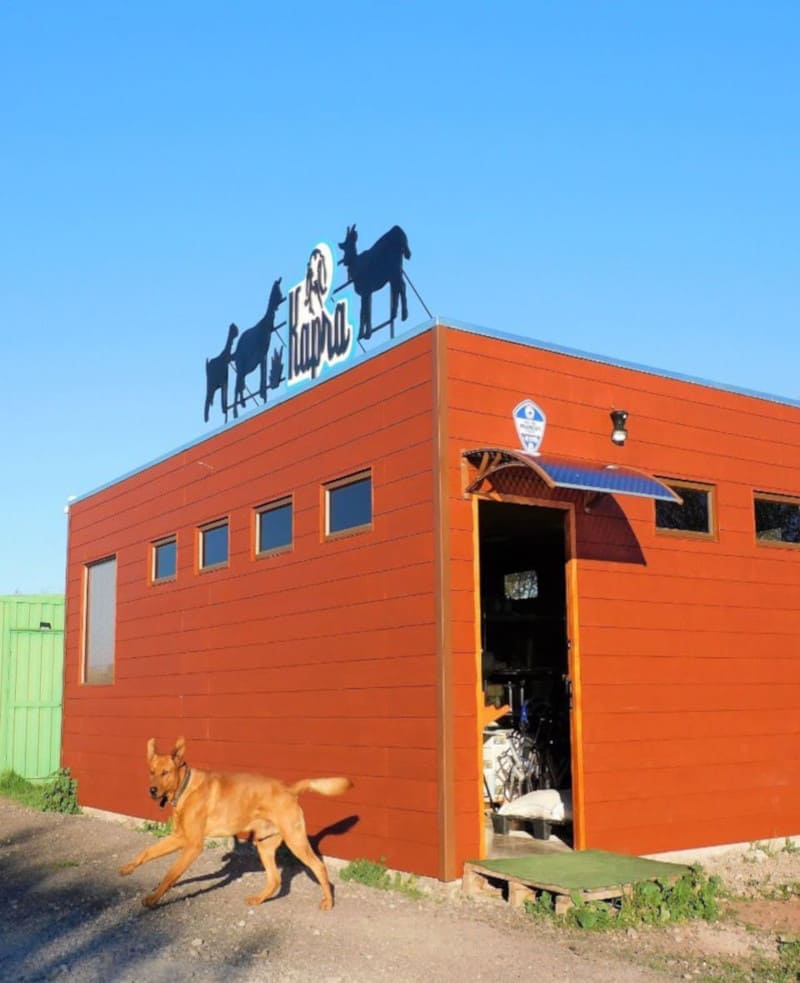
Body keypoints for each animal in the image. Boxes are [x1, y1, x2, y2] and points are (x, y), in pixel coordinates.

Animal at [119, 736, 354, 912]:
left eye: (165, 773)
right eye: (151, 771)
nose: (151, 791)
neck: (185, 788)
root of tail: (289, 788)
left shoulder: (193, 845)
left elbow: (170, 874)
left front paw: (153, 899)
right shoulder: (179, 837)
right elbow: (147, 852)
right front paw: (129, 867)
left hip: (295, 841)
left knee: (319, 866)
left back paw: (328, 901)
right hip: (265, 845)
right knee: (275, 880)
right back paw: (258, 899)